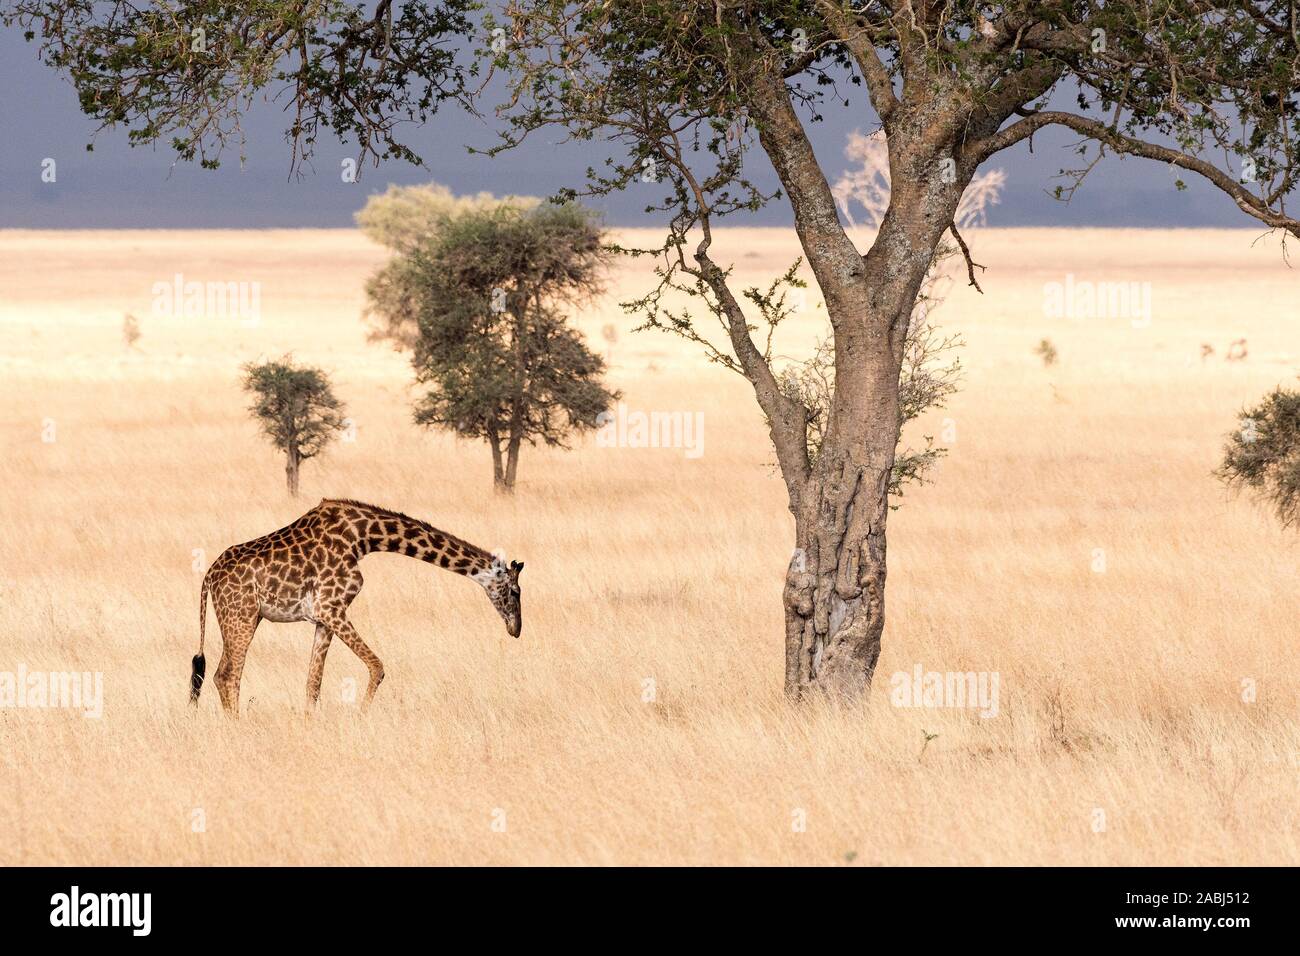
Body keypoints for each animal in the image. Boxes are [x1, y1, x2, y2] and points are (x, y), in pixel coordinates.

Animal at [190, 499, 523, 714]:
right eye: (515, 591)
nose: (516, 629)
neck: (363, 538)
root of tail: (208, 577)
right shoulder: (331, 607)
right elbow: (377, 666)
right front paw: (362, 716)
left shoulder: (323, 618)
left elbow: (313, 683)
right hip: (241, 617)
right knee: (227, 675)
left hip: (246, 618)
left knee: (220, 674)